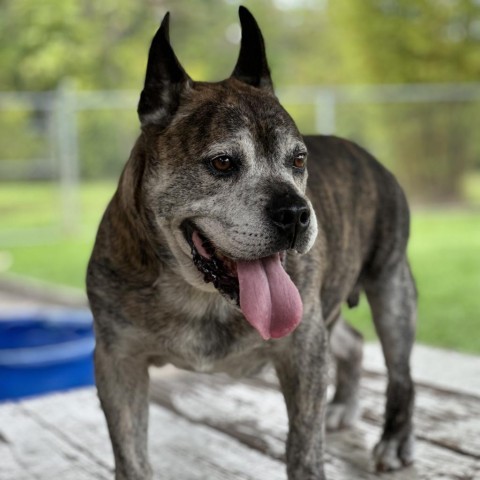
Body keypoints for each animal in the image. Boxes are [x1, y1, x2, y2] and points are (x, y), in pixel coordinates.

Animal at [86, 7, 416, 480]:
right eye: (222, 163)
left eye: (299, 159)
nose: (296, 213)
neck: (198, 293)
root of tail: (369, 156)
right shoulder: (118, 362)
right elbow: (131, 455)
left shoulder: (303, 350)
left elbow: (303, 447)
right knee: (352, 340)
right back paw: (343, 405)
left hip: (391, 289)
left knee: (401, 370)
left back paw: (393, 438)